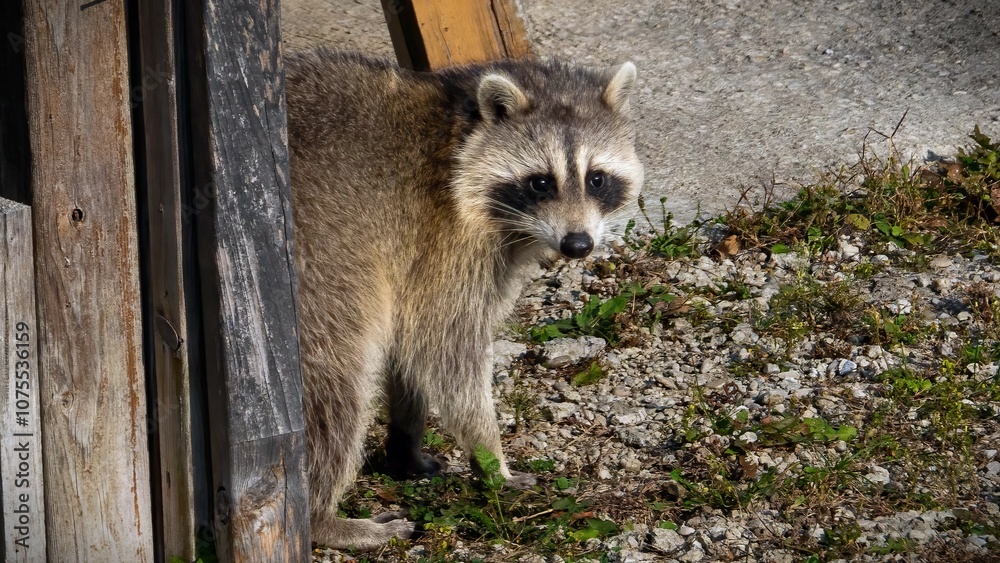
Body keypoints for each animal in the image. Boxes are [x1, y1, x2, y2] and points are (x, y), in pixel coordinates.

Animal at [285, 49, 643, 550]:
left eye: (596, 179)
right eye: (540, 183)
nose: (577, 246)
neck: (460, 133)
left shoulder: (417, 260)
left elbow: (408, 347)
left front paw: (405, 444)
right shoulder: (443, 238)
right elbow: (445, 349)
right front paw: (491, 458)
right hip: (318, 275)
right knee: (335, 385)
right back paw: (322, 518)